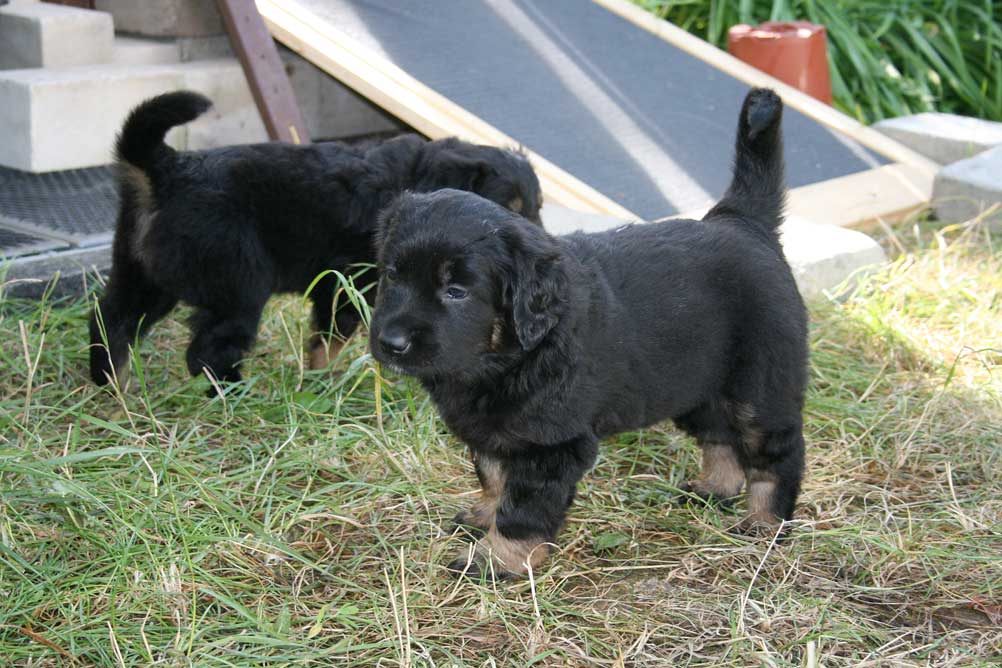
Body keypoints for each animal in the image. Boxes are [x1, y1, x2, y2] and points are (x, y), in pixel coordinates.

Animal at [88, 90, 541, 392]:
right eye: (507, 211)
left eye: (537, 207)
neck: (412, 179)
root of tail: (166, 168)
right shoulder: (348, 283)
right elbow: (333, 338)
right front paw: (328, 382)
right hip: (238, 282)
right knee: (207, 347)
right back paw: (235, 393)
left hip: (144, 270)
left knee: (112, 318)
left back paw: (111, 384)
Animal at [372, 88, 809, 580]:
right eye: (392, 275)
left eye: (456, 291)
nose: (390, 343)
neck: (510, 356)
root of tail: (741, 220)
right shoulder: (494, 431)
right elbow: (493, 476)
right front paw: (484, 516)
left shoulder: (551, 445)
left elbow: (523, 507)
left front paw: (498, 559)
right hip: (696, 383)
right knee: (721, 436)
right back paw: (714, 488)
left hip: (759, 383)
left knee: (778, 451)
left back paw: (766, 522)